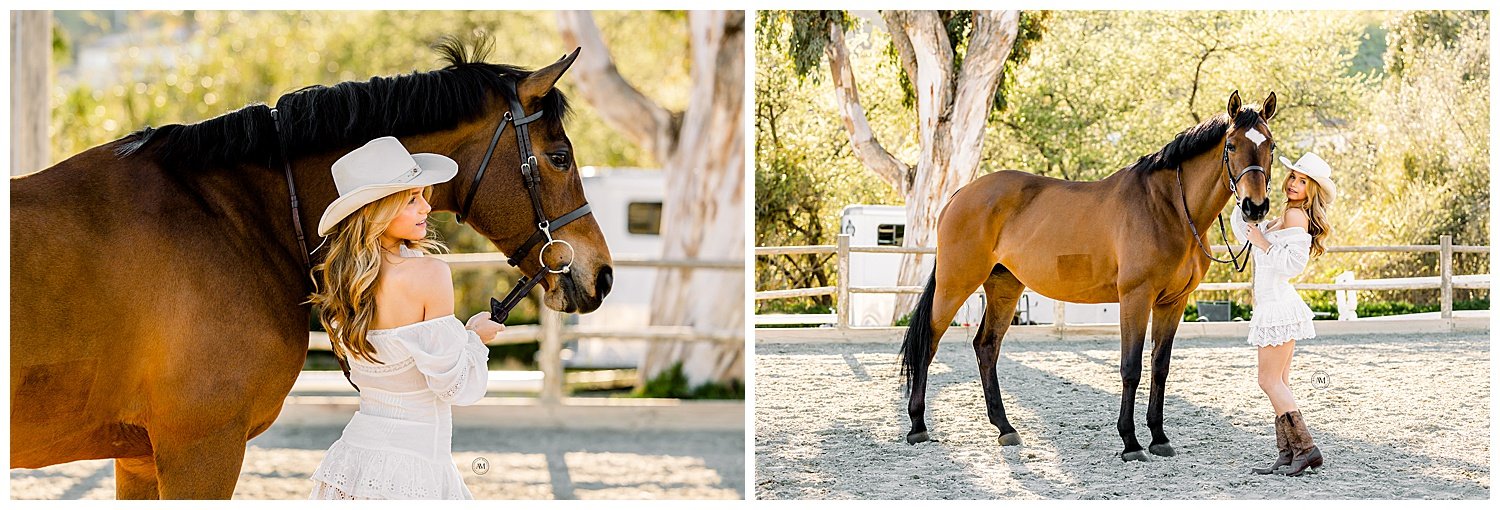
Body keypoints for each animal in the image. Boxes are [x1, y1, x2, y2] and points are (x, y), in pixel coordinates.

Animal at [900, 89, 1278, 459]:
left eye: (1271, 146)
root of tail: (960, 195)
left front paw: (1159, 437)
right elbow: (1130, 368)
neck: (1169, 207)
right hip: (955, 284)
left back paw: (1005, 428)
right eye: (1232, 145)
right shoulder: (1136, 298)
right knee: (929, 342)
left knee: (987, 346)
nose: (1255, 207)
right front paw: (1130, 443)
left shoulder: (1173, 303)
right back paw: (918, 426)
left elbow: (1160, 367)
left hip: (1004, 287)